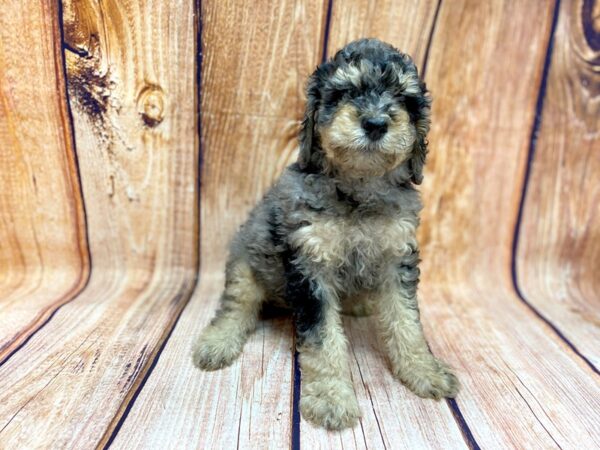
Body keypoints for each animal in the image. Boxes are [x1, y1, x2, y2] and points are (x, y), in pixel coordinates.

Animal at [192, 37, 460, 428]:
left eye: (404, 98)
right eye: (344, 92)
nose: (375, 123)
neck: (358, 191)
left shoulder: (398, 258)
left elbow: (407, 322)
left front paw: (424, 369)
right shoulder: (309, 266)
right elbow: (323, 339)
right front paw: (331, 397)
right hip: (244, 261)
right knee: (236, 305)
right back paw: (217, 341)